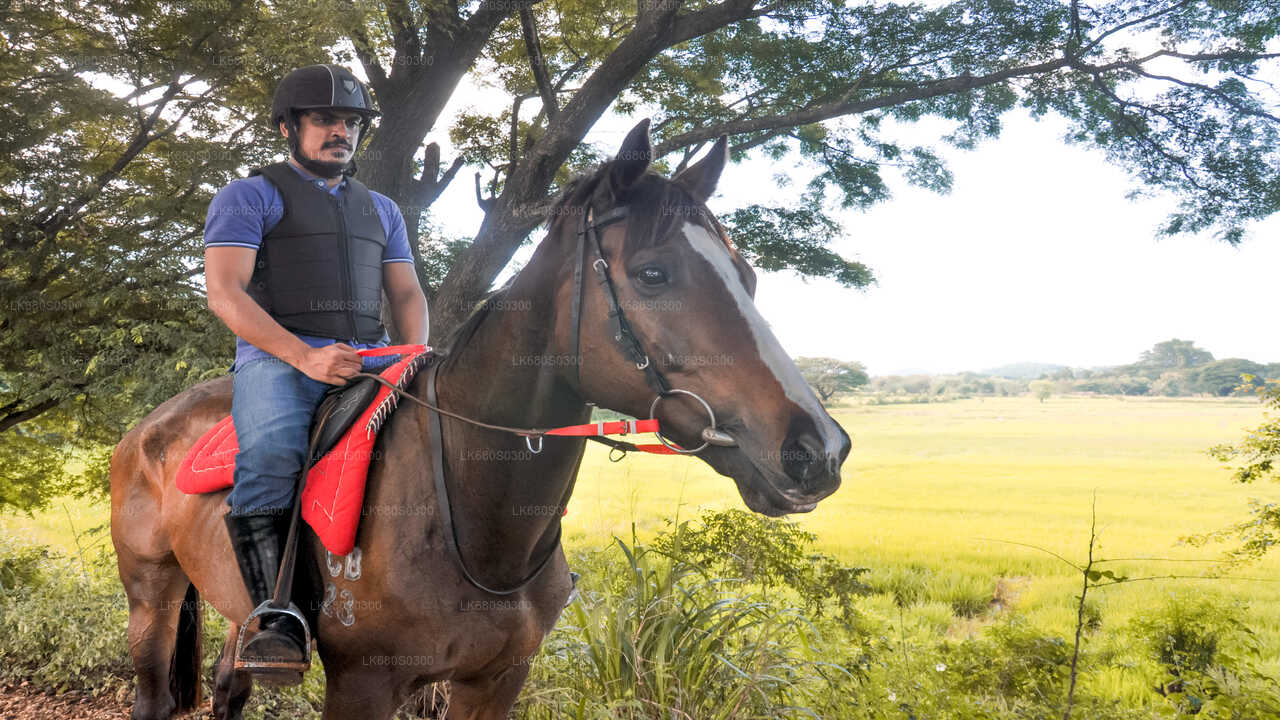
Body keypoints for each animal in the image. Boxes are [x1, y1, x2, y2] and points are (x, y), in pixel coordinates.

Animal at [110, 119, 849, 717]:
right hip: (152, 594)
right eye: (652, 273)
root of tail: (147, 430)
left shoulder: (496, 680)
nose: (817, 449)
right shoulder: (363, 685)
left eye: (747, 277)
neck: (471, 510)